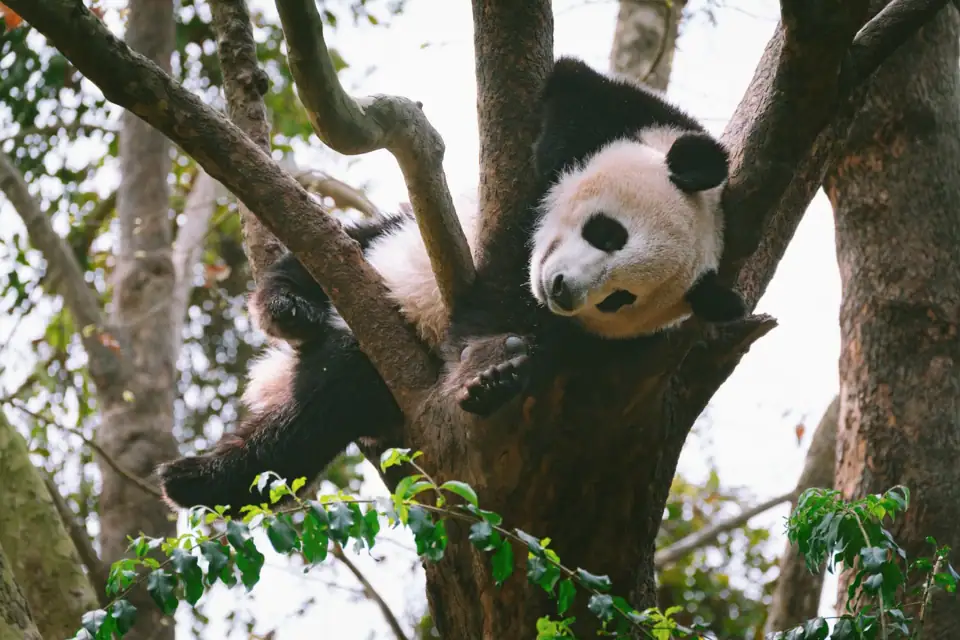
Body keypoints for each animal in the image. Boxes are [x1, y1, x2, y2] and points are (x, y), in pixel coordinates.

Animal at [156, 56, 745, 513]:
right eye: (608, 233)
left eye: (620, 299)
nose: (562, 289)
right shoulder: (644, 120)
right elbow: (576, 90)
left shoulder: (581, 340)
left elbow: (501, 320)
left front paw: (492, 375)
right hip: (380, 251)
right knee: (341, 249)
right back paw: (285, 309)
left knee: (321, 408)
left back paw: (206, 482)